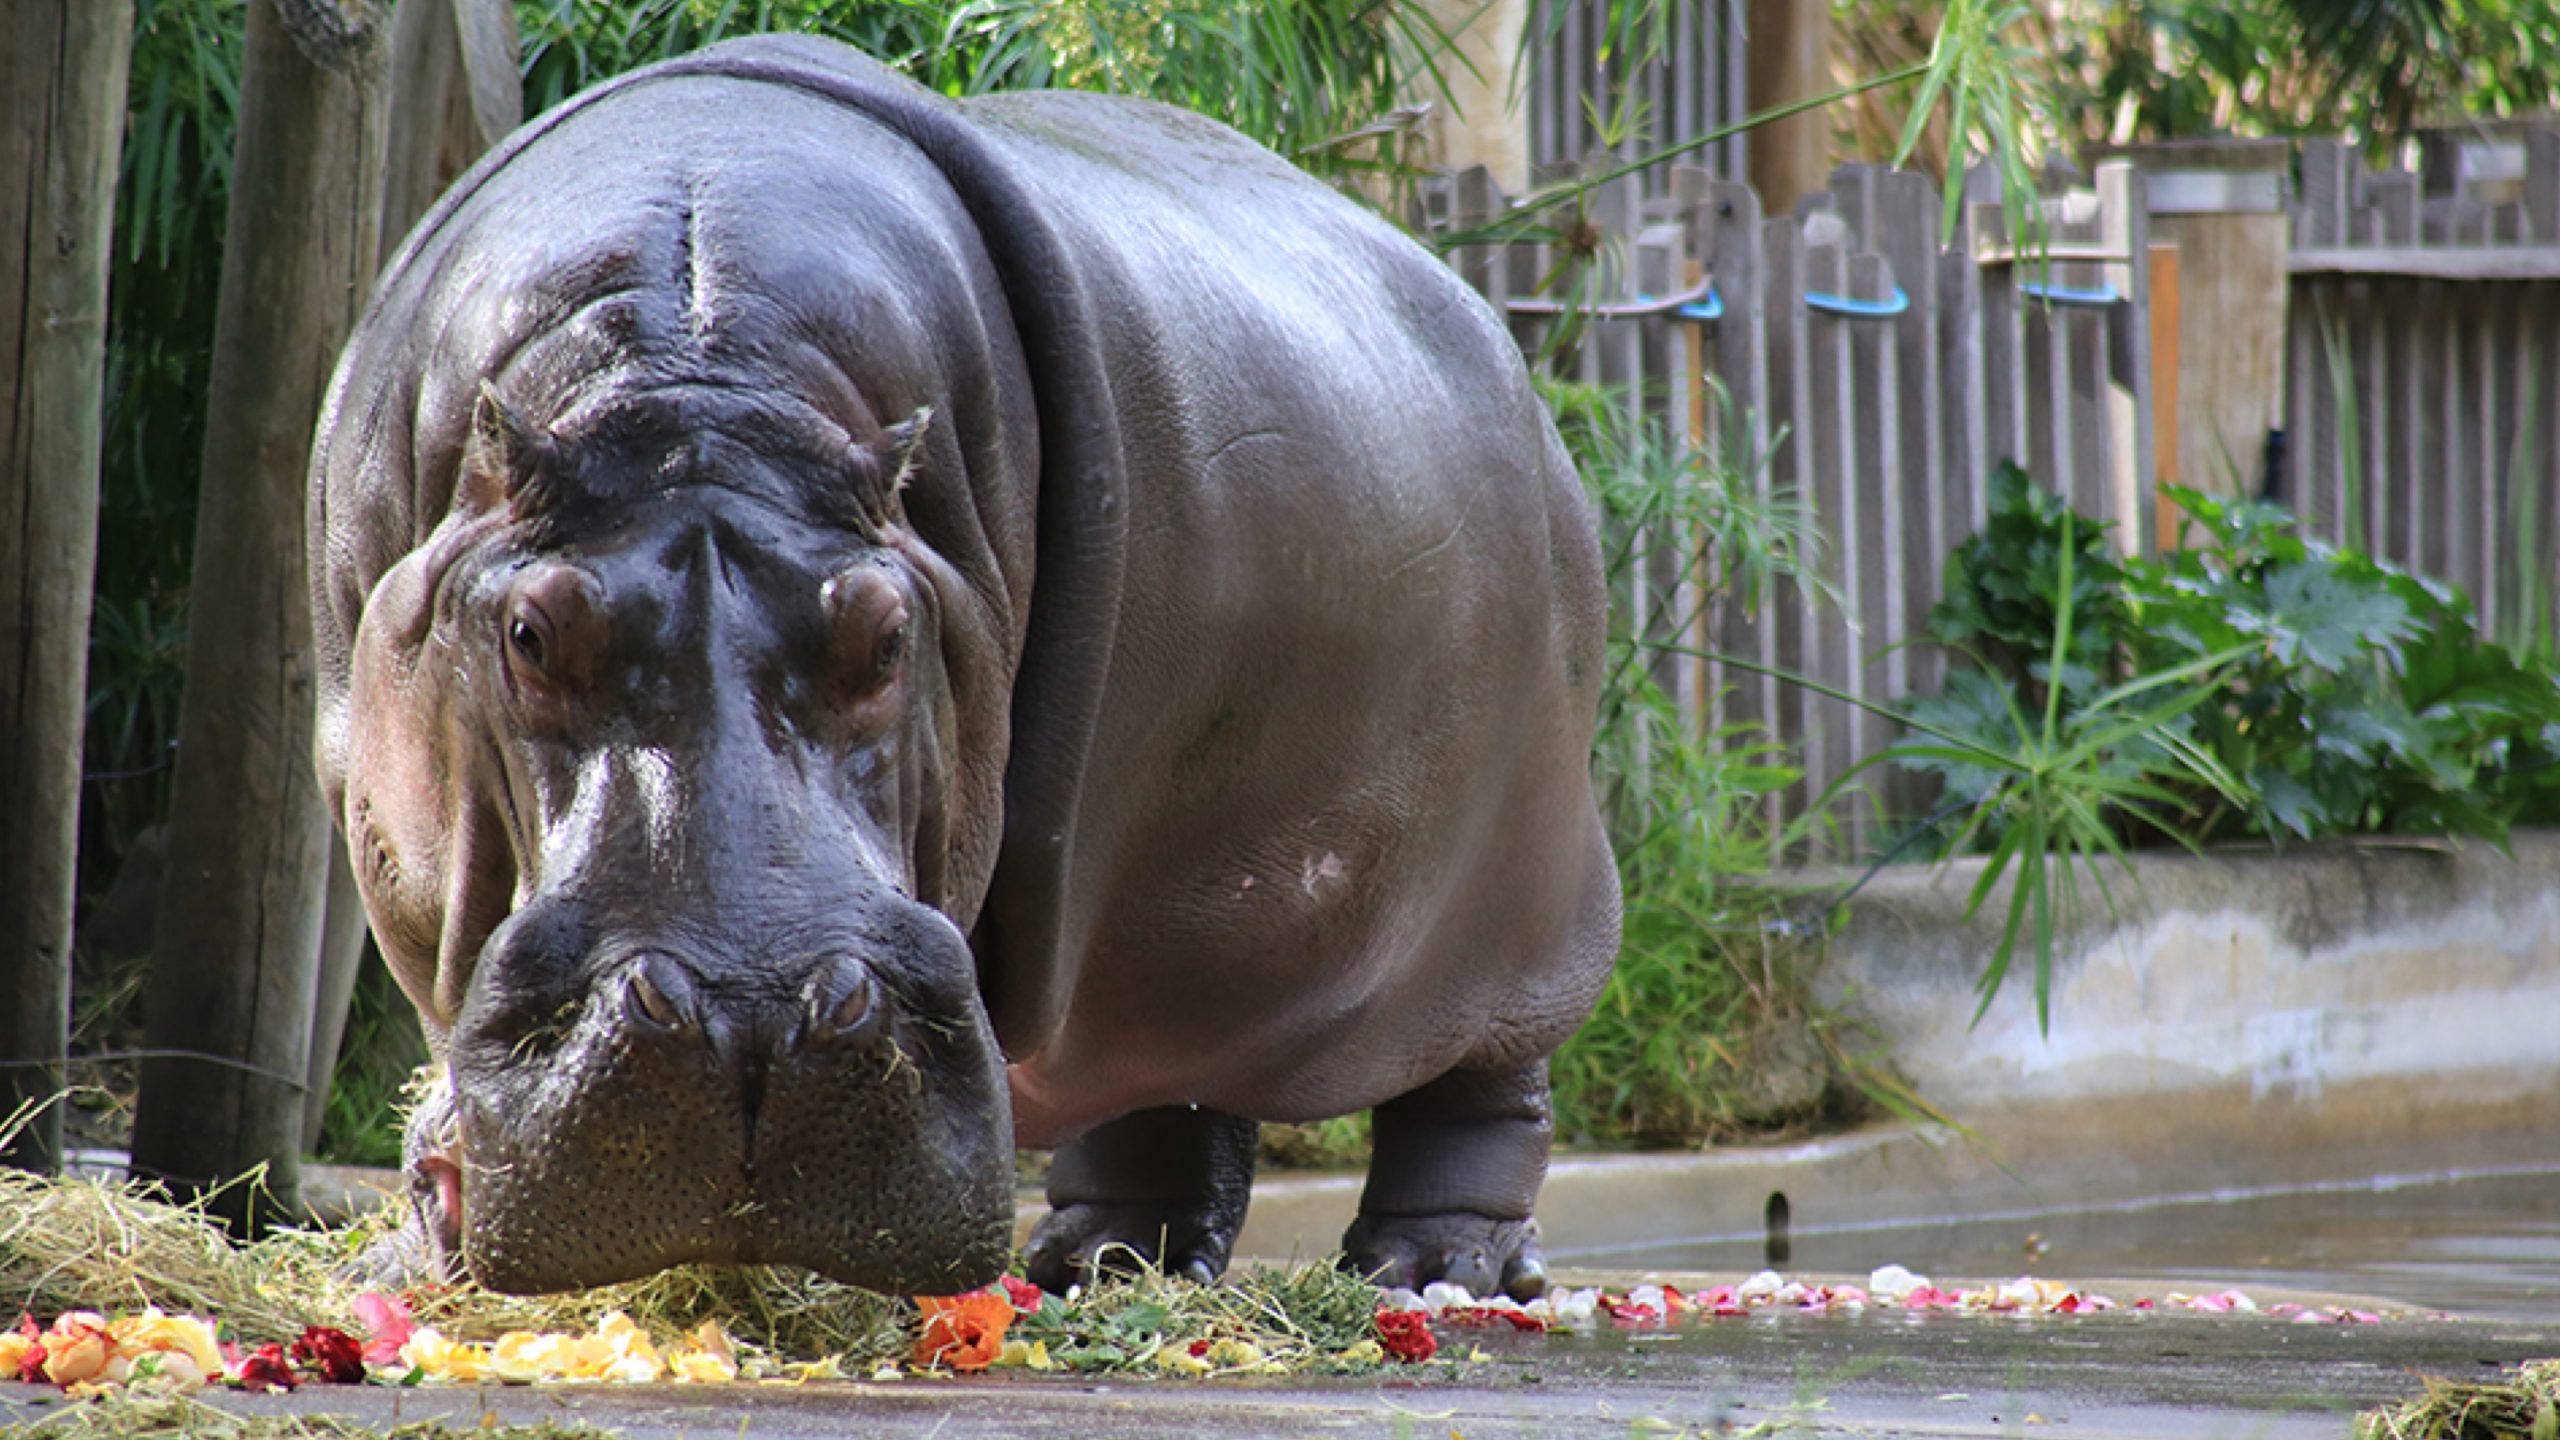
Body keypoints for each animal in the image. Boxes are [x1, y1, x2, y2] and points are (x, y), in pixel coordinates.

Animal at [309, 33, 1619, 1300]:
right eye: (530, 633)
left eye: (889, 632)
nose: (750, 1020)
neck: (698, 372)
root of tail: (1491, 330)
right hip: (1158, 930)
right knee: (1159, 1087)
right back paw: (1096, 1266)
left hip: (1520, 906)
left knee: (1484, 1089)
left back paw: (1434, 1275)